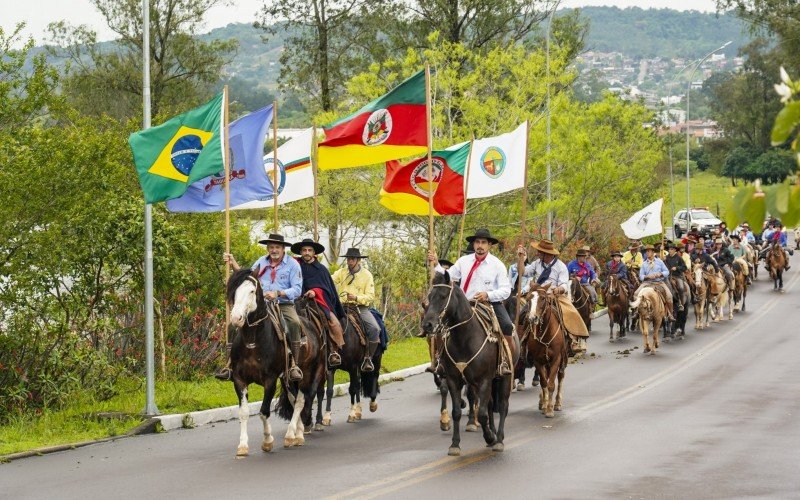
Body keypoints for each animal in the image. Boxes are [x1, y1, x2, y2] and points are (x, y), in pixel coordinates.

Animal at [225, 270, 324, 458]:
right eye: (234, 291)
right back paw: (297, 433)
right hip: (287, 379)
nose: (236, 318)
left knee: (300, 401)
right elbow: (244, 412)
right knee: (293, 400)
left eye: (251, 291)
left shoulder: (269, 380)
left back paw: (292, 435)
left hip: (306, 373)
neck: (253, 340)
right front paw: (242, 446)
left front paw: (267, 441)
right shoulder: (239, 379)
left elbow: (264, 411)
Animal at [418, 274, 520, 458]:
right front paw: (454, 444)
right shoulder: (453, 379)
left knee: (502, 405)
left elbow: (482, 413)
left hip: (504, 377)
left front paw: (489, 437)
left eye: (443, 296)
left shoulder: (484, 380)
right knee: (490, 405)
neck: (465, 338)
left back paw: (499, 439)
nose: (427, 325)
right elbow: (457, 412)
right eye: (429, 297)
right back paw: (493, 432)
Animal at [524, 286, 568, 418]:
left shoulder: (556, 359)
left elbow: (551, 384)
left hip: (562, 360)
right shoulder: (538, 360)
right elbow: (544, 382)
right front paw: (545, 404)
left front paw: (549, 409)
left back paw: (557, 403)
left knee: (560, 376)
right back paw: (542, 401)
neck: (545, 333)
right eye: (528, 298)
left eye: (543, 298)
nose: (532, 318)